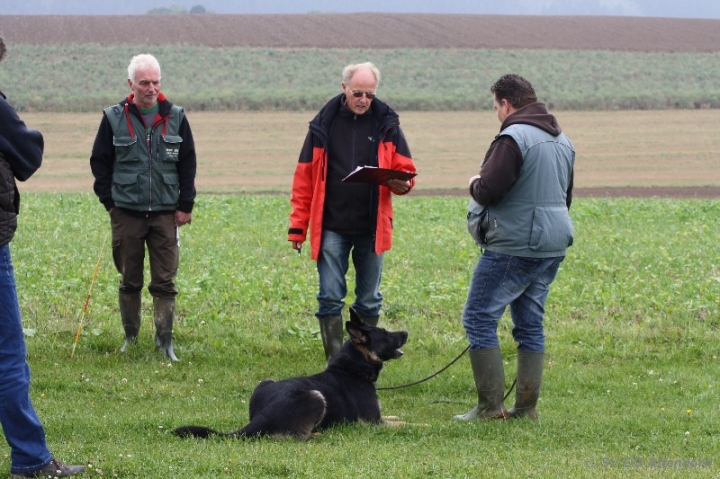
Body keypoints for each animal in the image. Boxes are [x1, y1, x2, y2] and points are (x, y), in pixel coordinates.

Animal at [172, 310, 408, 440]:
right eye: (386, 334)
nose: (406, 332)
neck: (352, 367)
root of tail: (261, 416)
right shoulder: (373, 423)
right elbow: (406, 424)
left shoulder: (379, 418)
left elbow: (395, 417)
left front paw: (399, 416)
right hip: (315, 396)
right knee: (294, 437)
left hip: (266, 381)